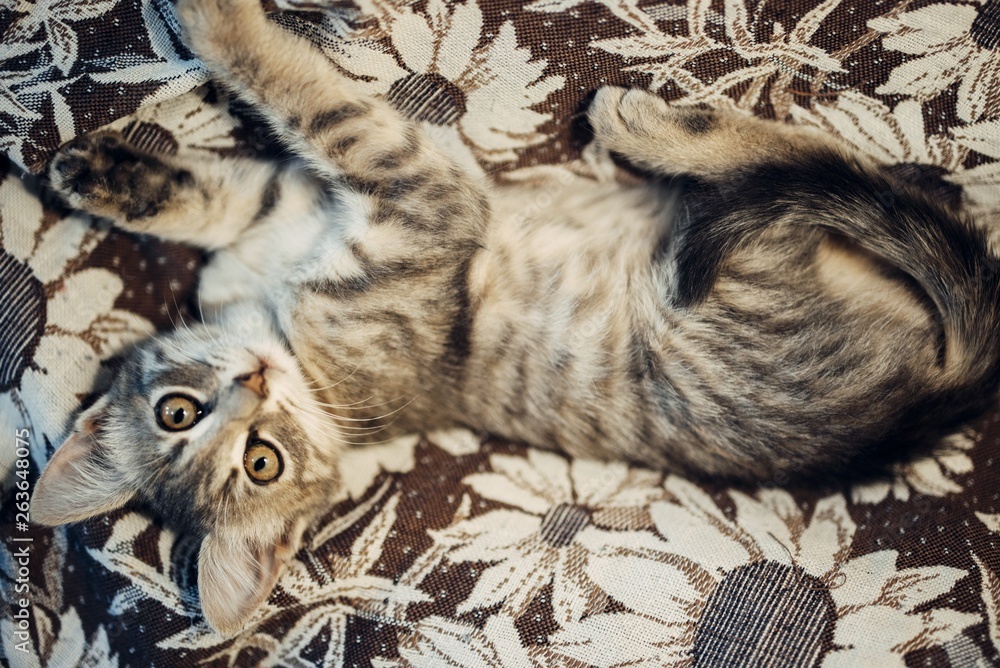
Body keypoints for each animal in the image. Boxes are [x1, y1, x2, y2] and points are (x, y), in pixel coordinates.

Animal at [27, 0, 1000, 640]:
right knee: (811, 177)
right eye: (259, 462)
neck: (293, 347)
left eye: (178, 412)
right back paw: (659, 126)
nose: (252, 383)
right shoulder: (419, 201)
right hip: (738, 279)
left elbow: (251, 157)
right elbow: (309, 97)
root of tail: (924, 406)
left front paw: (111, 174)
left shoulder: (327, 202)